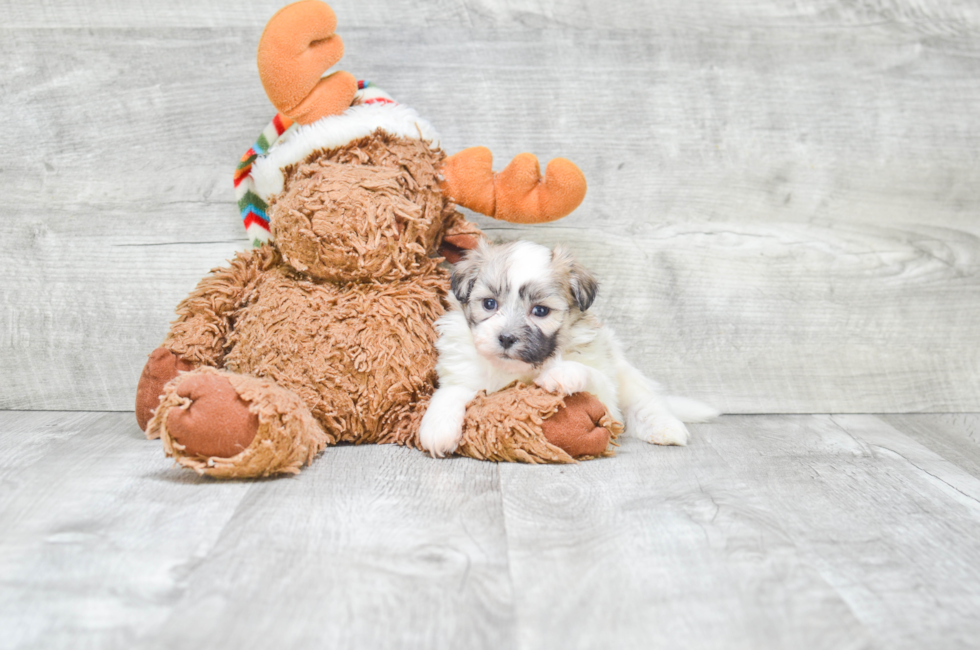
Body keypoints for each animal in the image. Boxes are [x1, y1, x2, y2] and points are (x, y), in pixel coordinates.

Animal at [418, 238, 716, 456]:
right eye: (489, 304)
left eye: (540, 311)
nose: (506, 338)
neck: (517, 370)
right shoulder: (463, 372)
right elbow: (451, 392)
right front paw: (438, 429)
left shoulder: (605, 393)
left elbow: (589, 375)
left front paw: (562, 373)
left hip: (628, 380)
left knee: (648, 405)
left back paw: (666, 429)